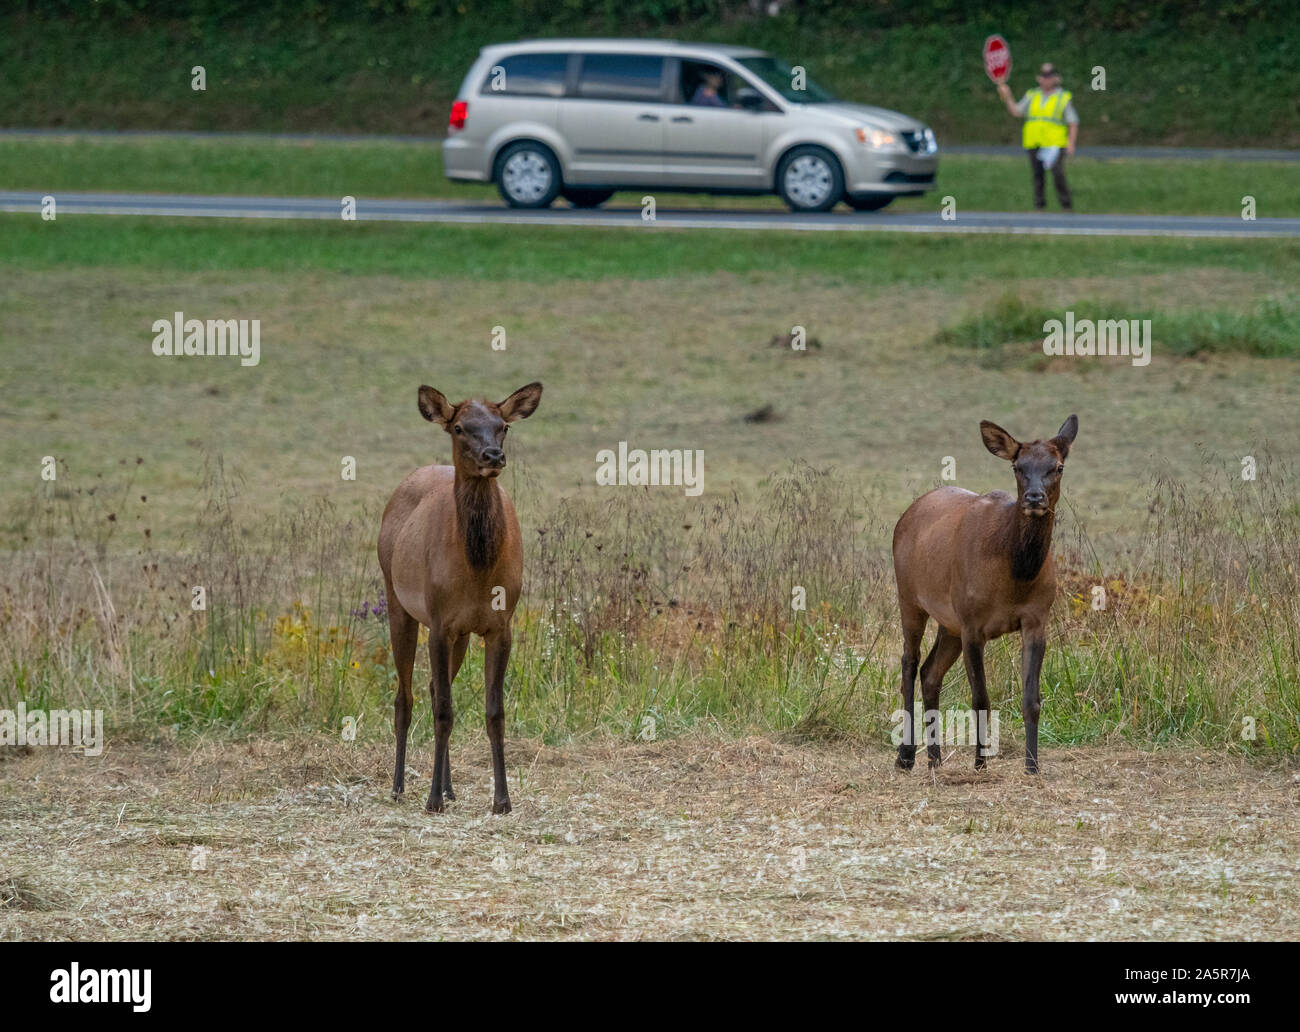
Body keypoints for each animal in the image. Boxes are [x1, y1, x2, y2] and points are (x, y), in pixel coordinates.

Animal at [379, 379, 540, 811]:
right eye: (459, 427)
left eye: (503, 426)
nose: (493, 455)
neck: (478, 573)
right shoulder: (438, 622)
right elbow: (443, 712)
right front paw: (432, 799)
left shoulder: (499, 624)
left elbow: (494, 712)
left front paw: (502, 800)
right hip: (397, 600)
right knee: (405, 698)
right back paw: (399, 786)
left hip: (462, 633)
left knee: (435, 689)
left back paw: (450, 787)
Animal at [894, 413, 1076, 769]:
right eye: (1017, 466)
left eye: (1058, 466)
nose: (1034, 498)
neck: (1015, 577)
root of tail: (907, 514)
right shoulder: (973, 624)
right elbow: (980, 698)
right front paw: (980, 763)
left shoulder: (1037, 618)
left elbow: (1031, 699)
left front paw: (1032, 765)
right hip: (909, 597)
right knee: (909, 661)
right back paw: (906, 755)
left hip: (949, 622)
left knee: (930, 671)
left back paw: (935, 758)